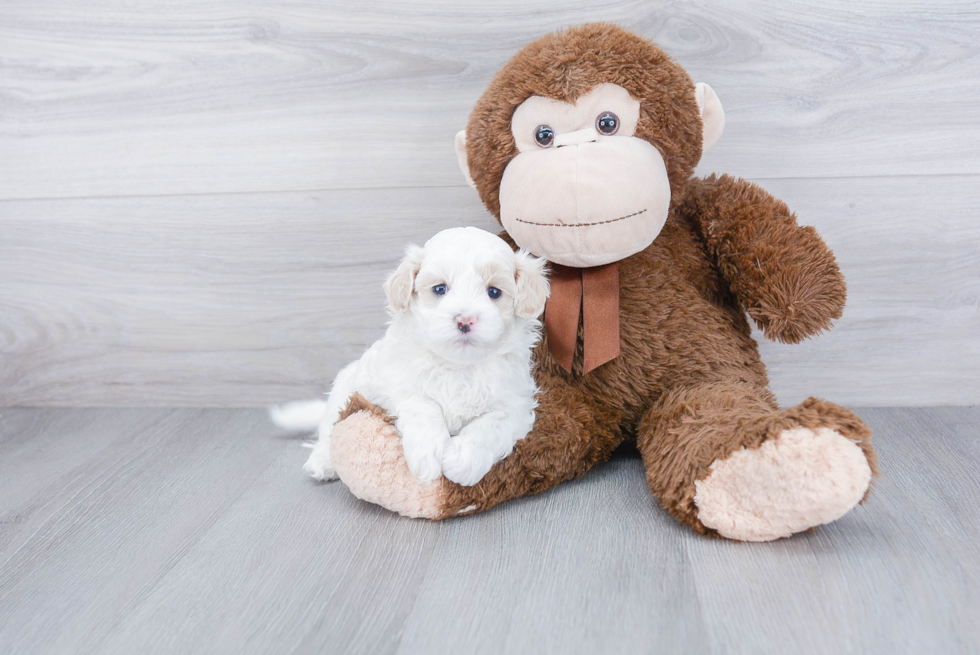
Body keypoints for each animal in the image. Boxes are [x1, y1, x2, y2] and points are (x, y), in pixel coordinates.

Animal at [272, 226, 548, 486]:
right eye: (439, 289)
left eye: (494, 292)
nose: (465, 320)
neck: (458, 366)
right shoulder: (400, 384)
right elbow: (423, 407)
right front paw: (427, 456)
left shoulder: (515, 405)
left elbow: (489, 426)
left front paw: (462, 462)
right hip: (344, 390)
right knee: (329, 430)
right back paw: (322, 462)